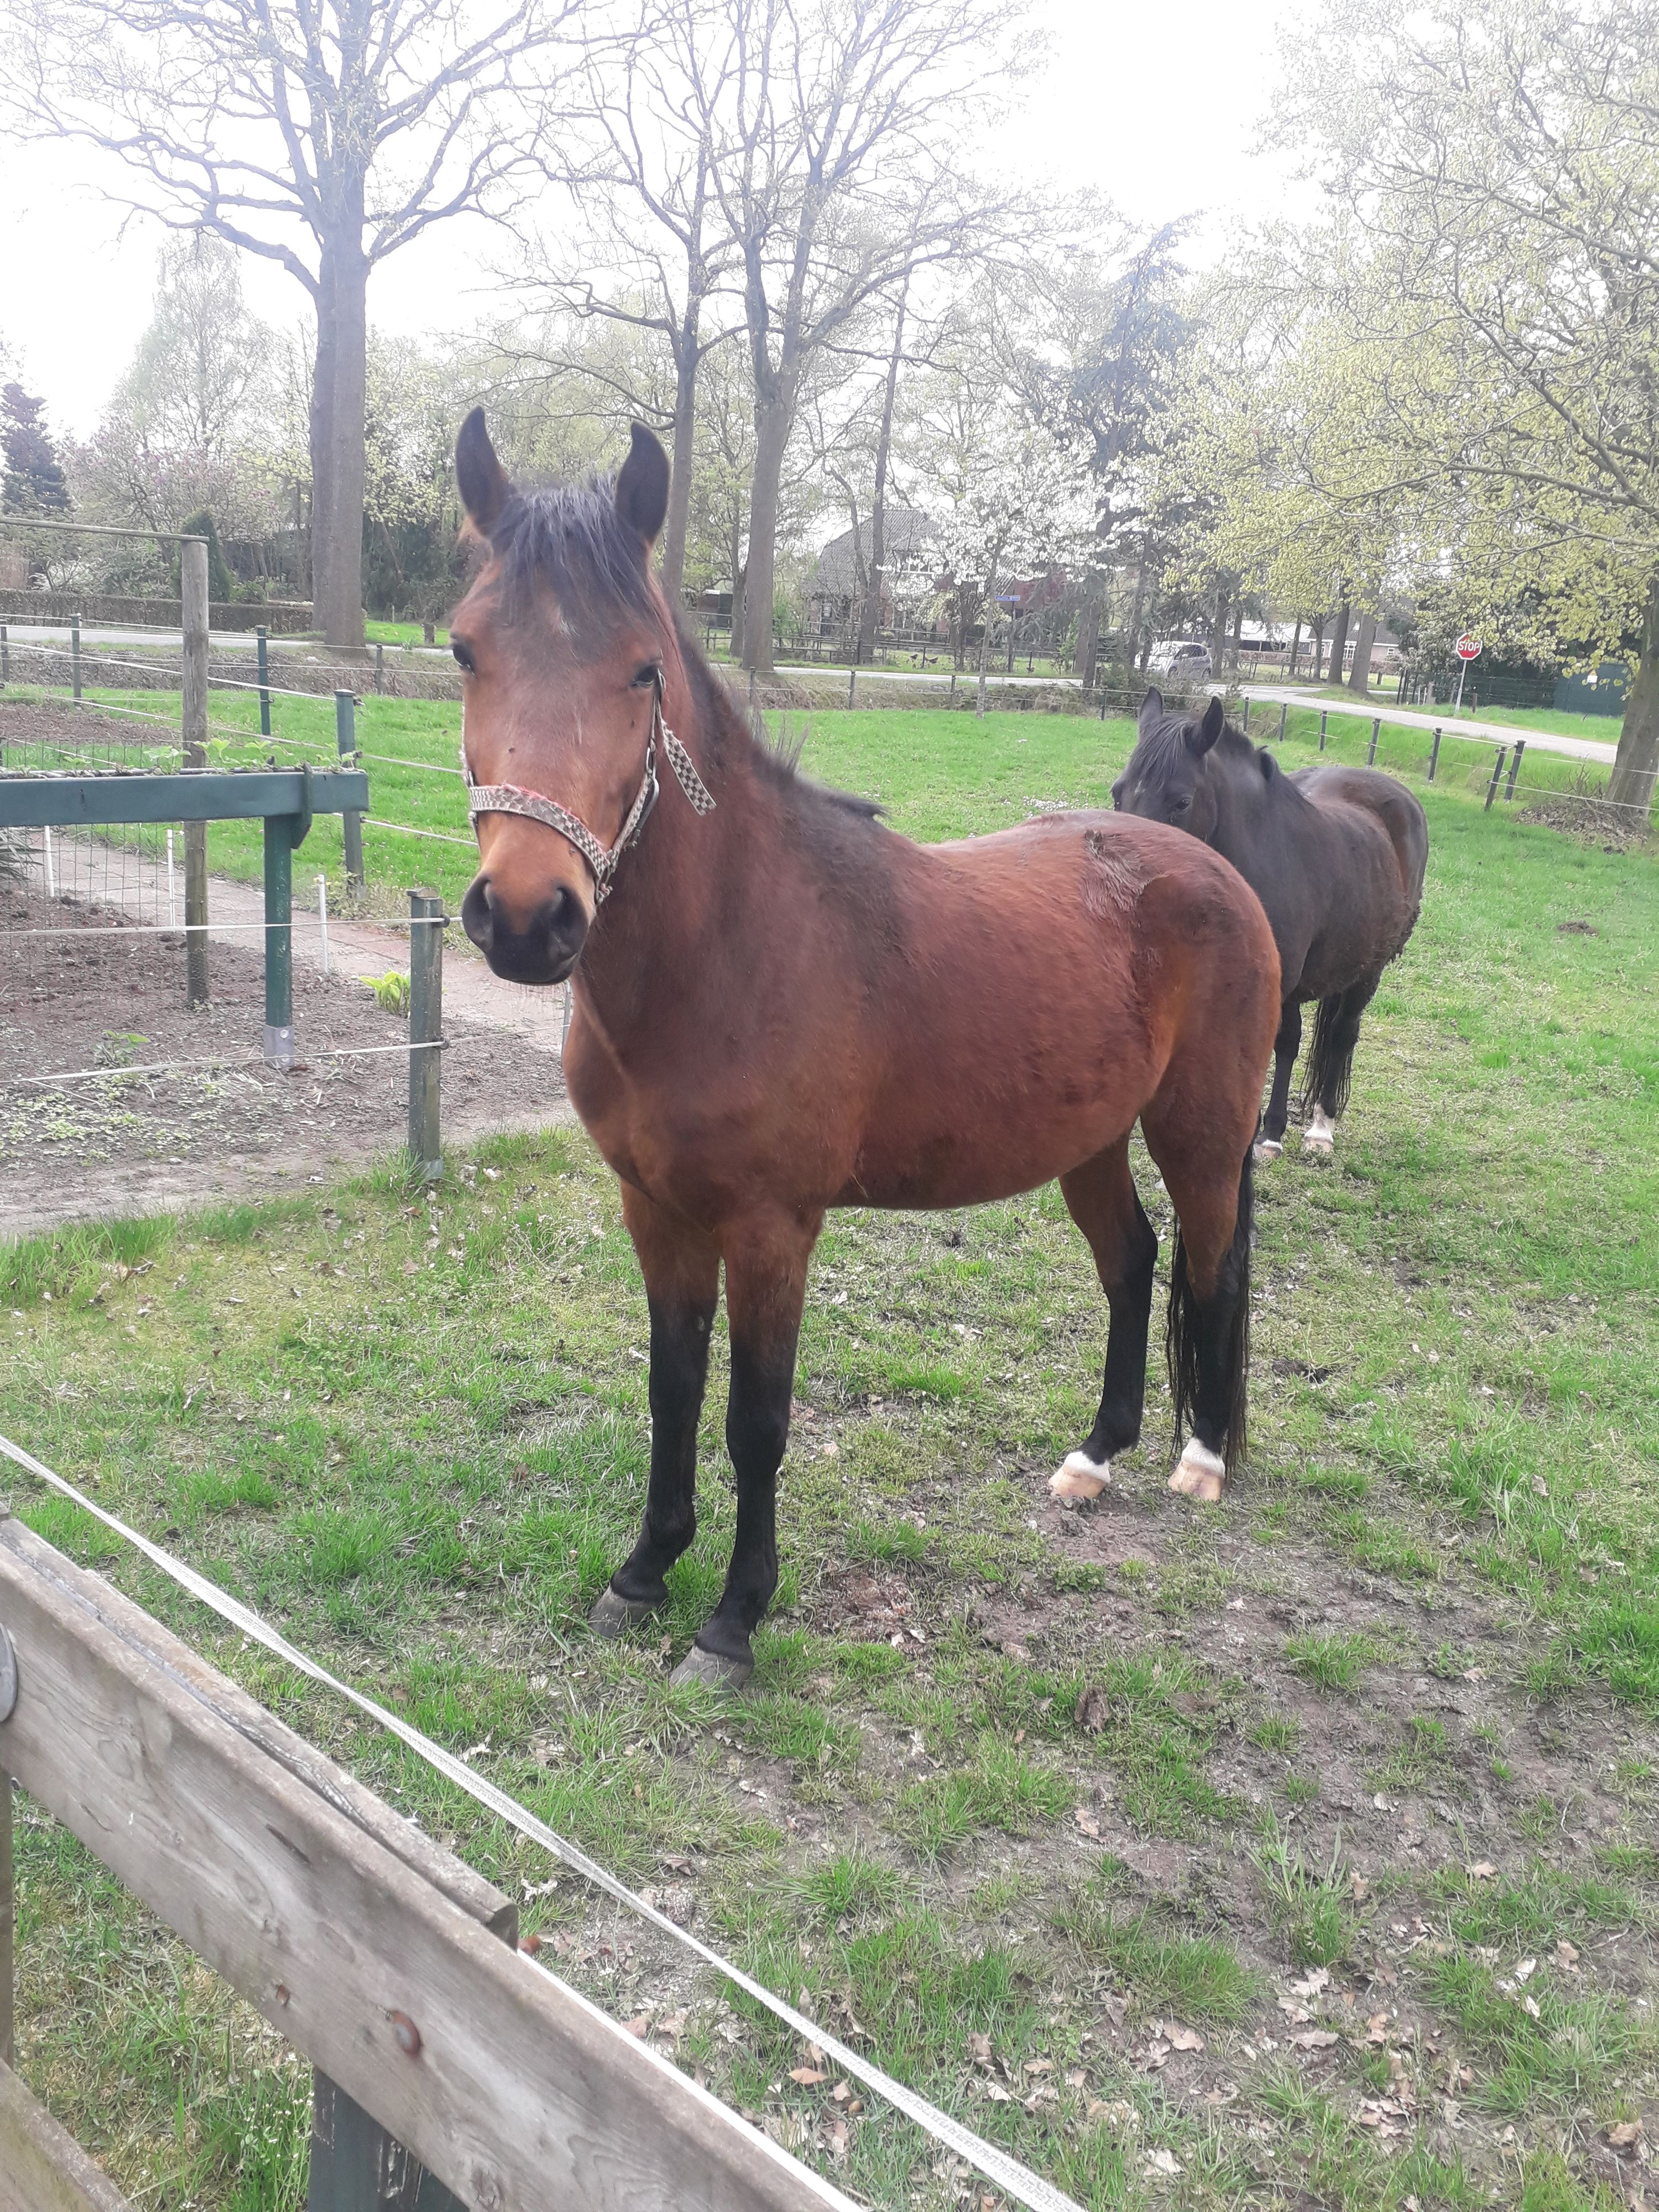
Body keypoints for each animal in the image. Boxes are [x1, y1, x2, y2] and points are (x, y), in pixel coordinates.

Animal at [449, 411, 1281, 1691]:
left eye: (643, 669)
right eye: (464, 652)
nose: (530, 918)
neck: (733, 949)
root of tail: (1217, 871)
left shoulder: (772, 1229)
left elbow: (755, 1421)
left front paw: (733, 1620)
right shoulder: (657, 1211)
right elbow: (672, 1392)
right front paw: (644, 1571)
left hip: (1202, 1135)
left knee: (1212, 1268)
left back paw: (1200, 1457)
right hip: (1088, 1142)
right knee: (1133, 1261)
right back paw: (1095, 1456)